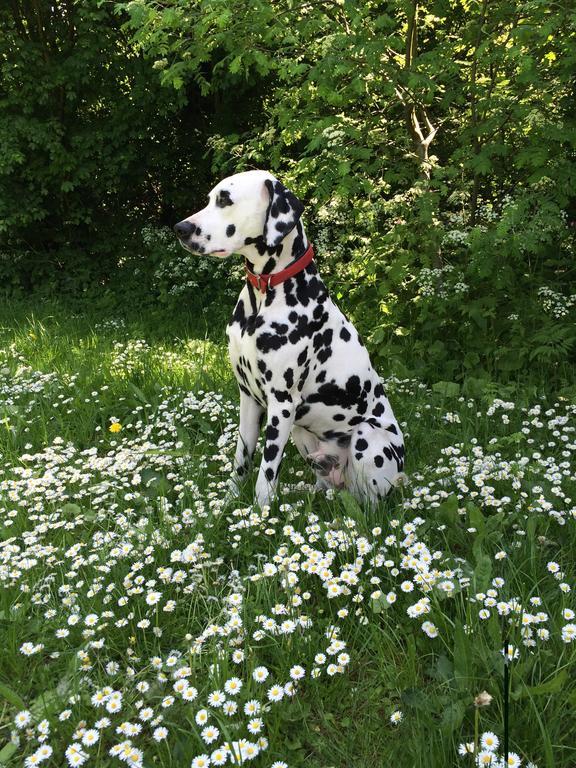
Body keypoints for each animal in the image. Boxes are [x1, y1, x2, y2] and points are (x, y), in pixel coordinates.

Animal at [176, 170, 404, 508]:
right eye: (209, 199)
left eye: (225, 200)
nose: (181, 228)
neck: (264, 295)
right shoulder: (248, 398)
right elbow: (241, 461)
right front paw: (229, 505)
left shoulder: (281, 404)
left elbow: (266, 475)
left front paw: (259, 515)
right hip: (301, 433)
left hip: (366, 438)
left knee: (371, 504)